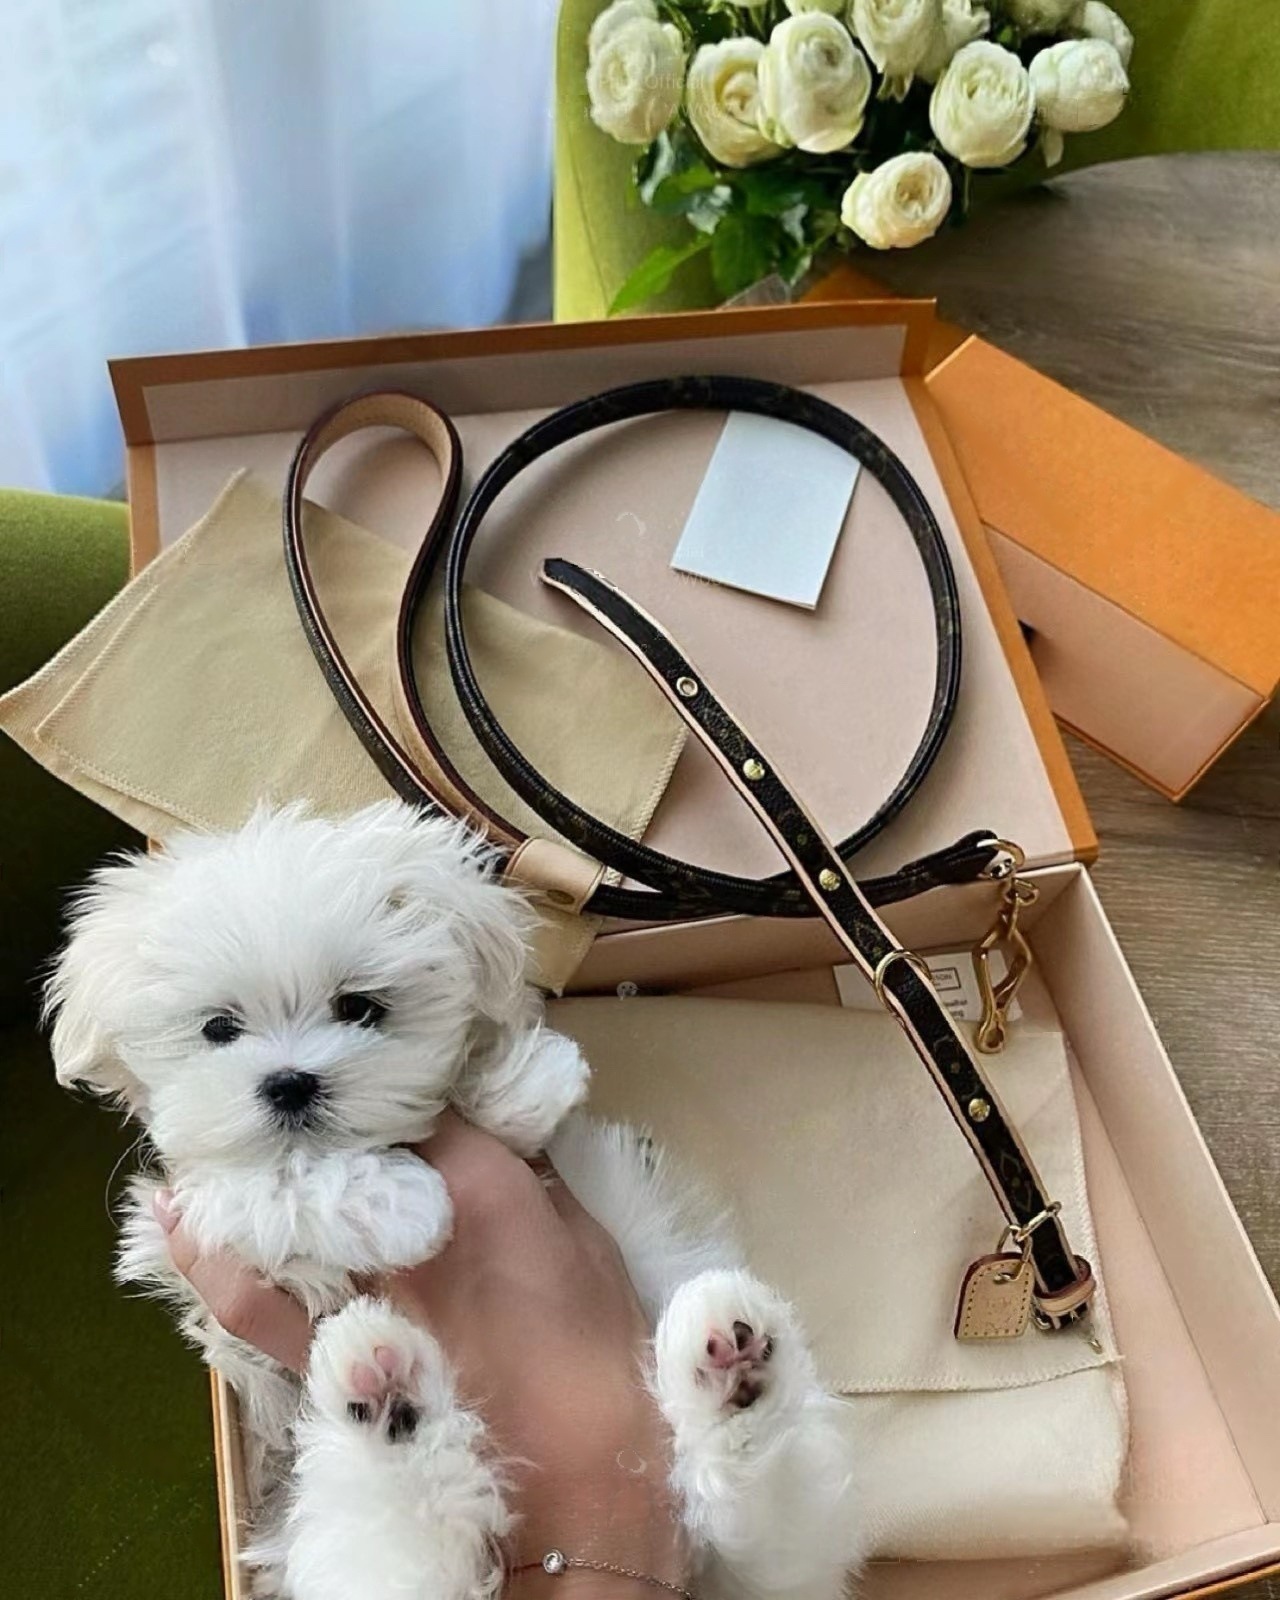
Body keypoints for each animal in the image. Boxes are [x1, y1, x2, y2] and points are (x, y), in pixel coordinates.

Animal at [48, 801, 863, 1600]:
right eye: (219, 1028)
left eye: (361, 1008)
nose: (289, 1083)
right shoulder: (183, 1223)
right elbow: (271, 1183)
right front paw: (405, 1206)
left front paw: (523, 1084)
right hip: (332, 1505)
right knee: (406, 1542)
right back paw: (386, 1396)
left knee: (776, 1522)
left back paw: (728, 1363)